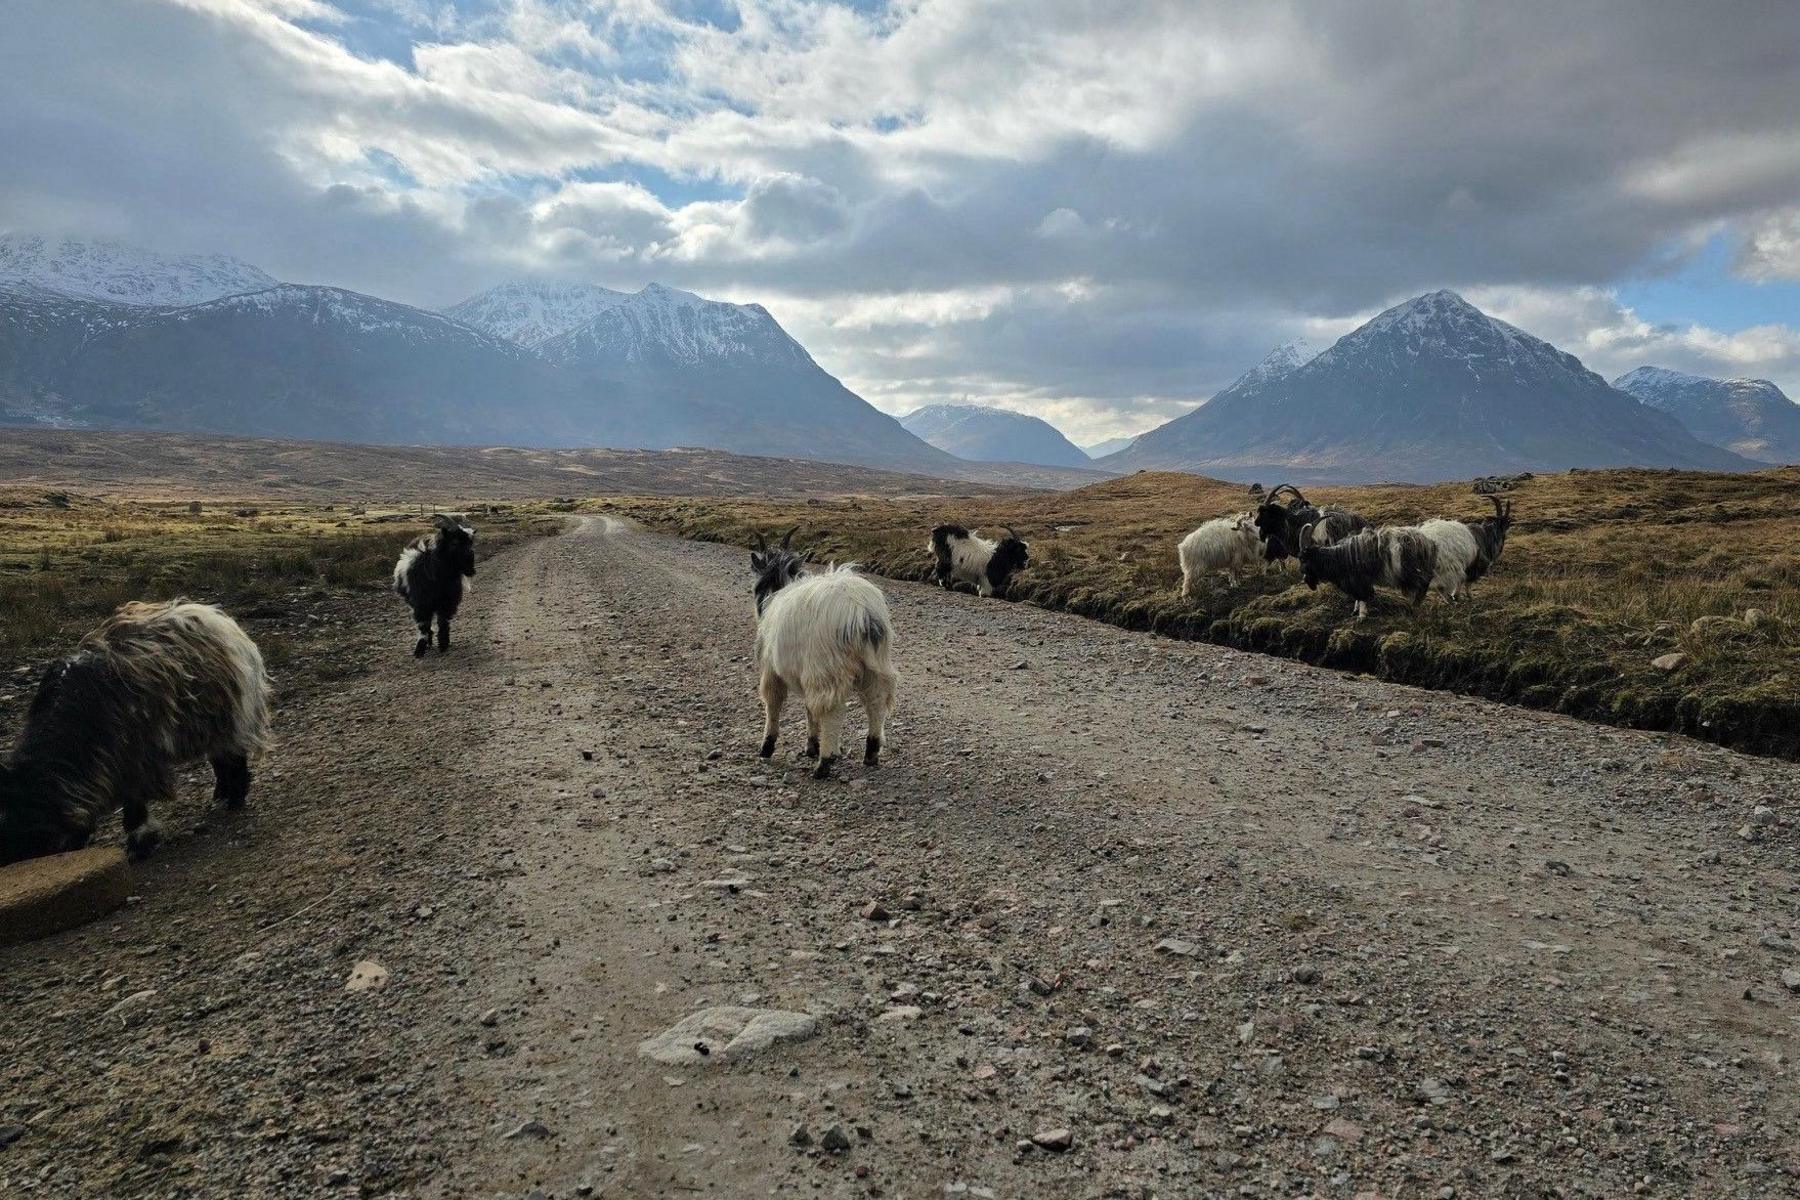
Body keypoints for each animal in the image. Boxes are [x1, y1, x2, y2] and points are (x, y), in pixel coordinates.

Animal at [0, 600, 273, 863]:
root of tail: (221, 621)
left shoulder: (134, 759)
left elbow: (134, 805)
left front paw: (139, 845)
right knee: (220, 760)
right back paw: (221, 795)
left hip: (227, 717)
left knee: (233, 757)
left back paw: (235, 799)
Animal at [392, 514, 475, 658]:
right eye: (454, 542)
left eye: (470, 542)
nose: (470, 565)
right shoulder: (421, 603)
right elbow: (423, 625)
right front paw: (419, 649)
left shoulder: (447, 602)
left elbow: (443, 622)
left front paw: (443, 644)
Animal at [752, 528, 900, 784]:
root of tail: (860, 612)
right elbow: (809, 709)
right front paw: (811, 745)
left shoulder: (772, 669)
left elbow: (773, 703)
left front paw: (767, 747)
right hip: (875, 664)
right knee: (877, 700)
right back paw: (871, 751)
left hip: (825, 667)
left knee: (832, 710)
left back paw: (825, 762)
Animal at [1296, 521, 1432, 626]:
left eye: (1303, 559)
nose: (1305, 579)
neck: (1339, 559)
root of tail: (1424, 541)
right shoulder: (1355, 583)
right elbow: (1357, 597)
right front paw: (1355, 611)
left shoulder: (1359, 582)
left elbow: (1363, 597)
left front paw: (1361, 616)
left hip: (1414, 573)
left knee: (1422, 586)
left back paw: (1415, 608)